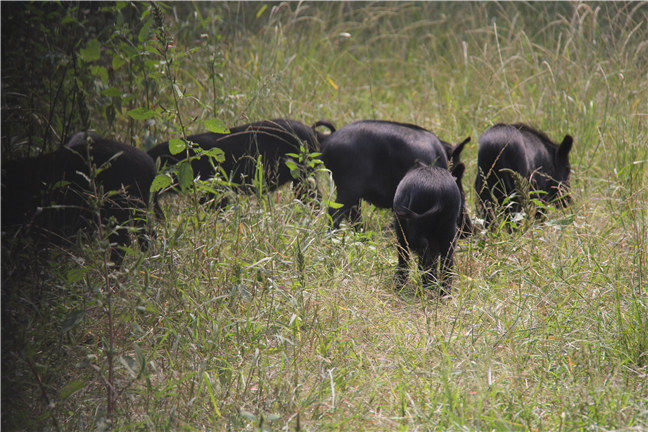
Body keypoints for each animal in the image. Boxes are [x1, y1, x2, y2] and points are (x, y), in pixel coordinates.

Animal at [318, 118, 470, 233]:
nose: (469, 230)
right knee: (334, 211)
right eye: (459, 174)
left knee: (353, 214)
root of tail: (327, 143)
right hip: (349, 187)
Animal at [390, 162, 466, 296]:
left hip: (410, 230)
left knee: (418, 257)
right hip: (449, 230)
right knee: (446, 262)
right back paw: (442, 294)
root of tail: (439, 197)